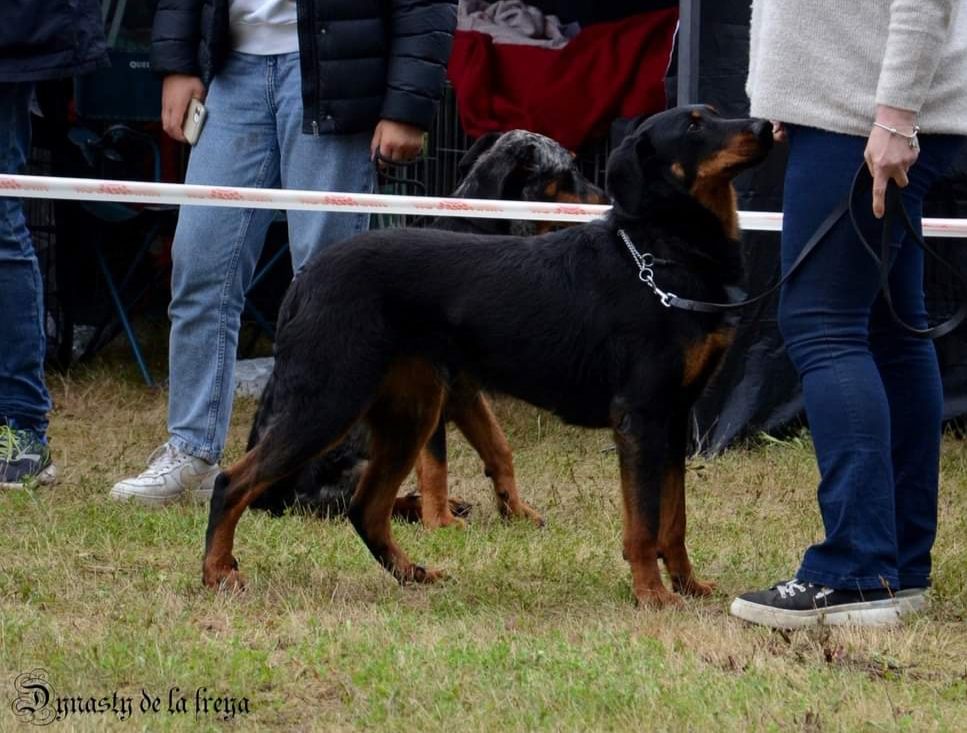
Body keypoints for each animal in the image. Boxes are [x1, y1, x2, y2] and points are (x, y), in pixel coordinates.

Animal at [248, 127, 604, 528]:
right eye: (569, 170)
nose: (608, 199)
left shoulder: (465, 390)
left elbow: (499, 448)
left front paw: (515, 510)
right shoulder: (435, 389)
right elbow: (436, 464)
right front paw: (442, 524)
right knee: (348, 502)